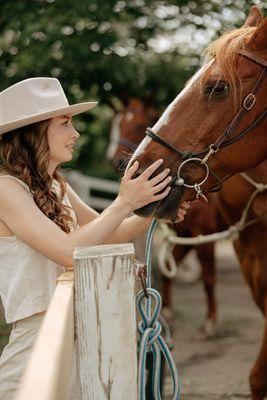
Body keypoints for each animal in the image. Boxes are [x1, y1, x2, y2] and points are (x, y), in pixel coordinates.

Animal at [107, 97, 224, 338]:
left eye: (136, 125)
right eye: (114, 124)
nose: (114, 161)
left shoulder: (204, 236)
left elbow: (209, 278)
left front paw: (210, 323)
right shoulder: (187, 237)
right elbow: (167, 272)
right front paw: (167, 311)